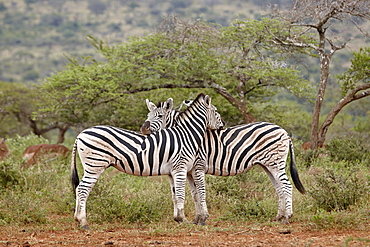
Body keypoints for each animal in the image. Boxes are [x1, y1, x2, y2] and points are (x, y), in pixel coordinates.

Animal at [71, 93, 224, 229]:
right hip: (95, 164)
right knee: (83, 189)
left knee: (79, 188)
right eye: (216, 111)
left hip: (91, 165)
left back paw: (77, 220)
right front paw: (184, 220)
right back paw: (83, 222)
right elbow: (181, 194)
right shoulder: (180, 167)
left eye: (160, 116)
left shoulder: (172, 171)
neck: (185, 135)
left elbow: (175, 195)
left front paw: (179, 219)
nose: (222, 126)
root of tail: (80, 135)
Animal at [140, 98, 304, 224]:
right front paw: (196, 218)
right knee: (280, 188)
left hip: (276, 163)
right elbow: (194, 194)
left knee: (287, 186)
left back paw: (287, 217)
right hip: (268, 165)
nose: (143, 128)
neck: (186, 134)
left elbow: (201, 192)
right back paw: (278, 216)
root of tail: (283, 131)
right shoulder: (189, 171)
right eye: (148, 115)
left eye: (160, 116)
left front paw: (202, 218)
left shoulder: (198, 167)